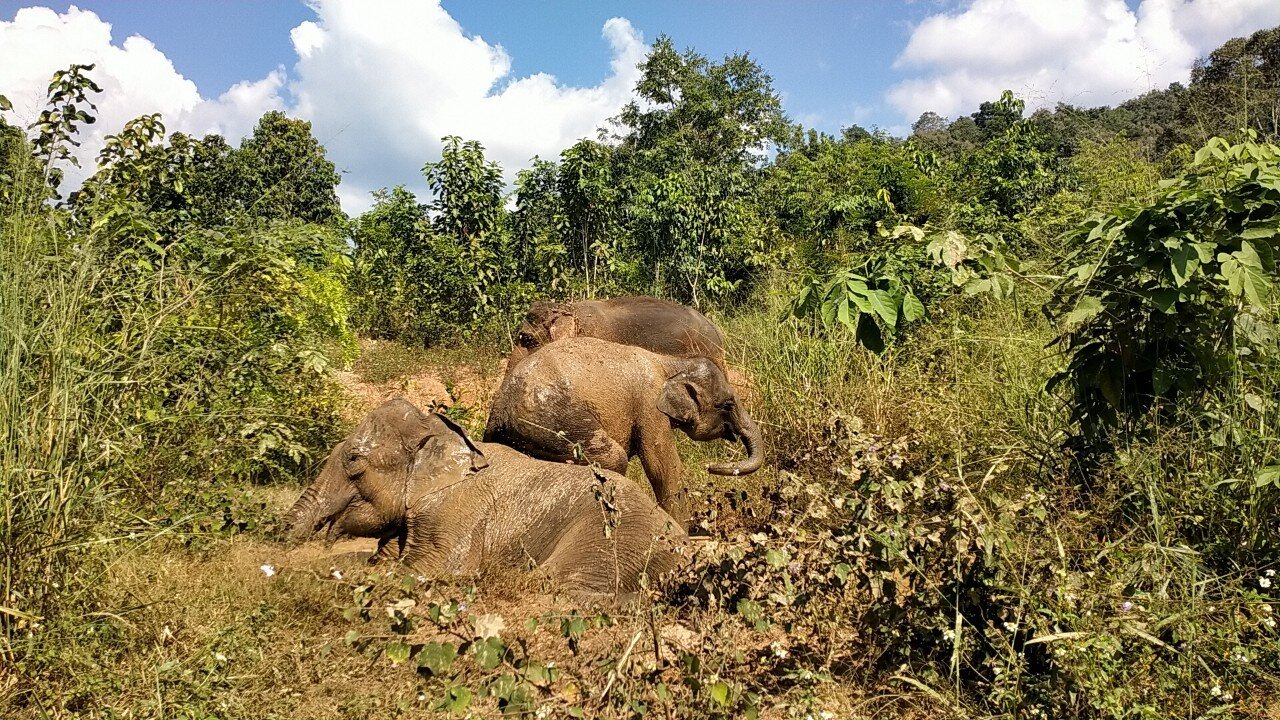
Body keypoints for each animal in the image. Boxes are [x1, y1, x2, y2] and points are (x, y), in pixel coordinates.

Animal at [484, 337, 764, 526]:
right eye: (728, 405)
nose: (710, 467)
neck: (670, 361)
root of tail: (503, 409)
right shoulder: (649, 405)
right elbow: (662, 466)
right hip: (554, 423)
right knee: (612, 459)